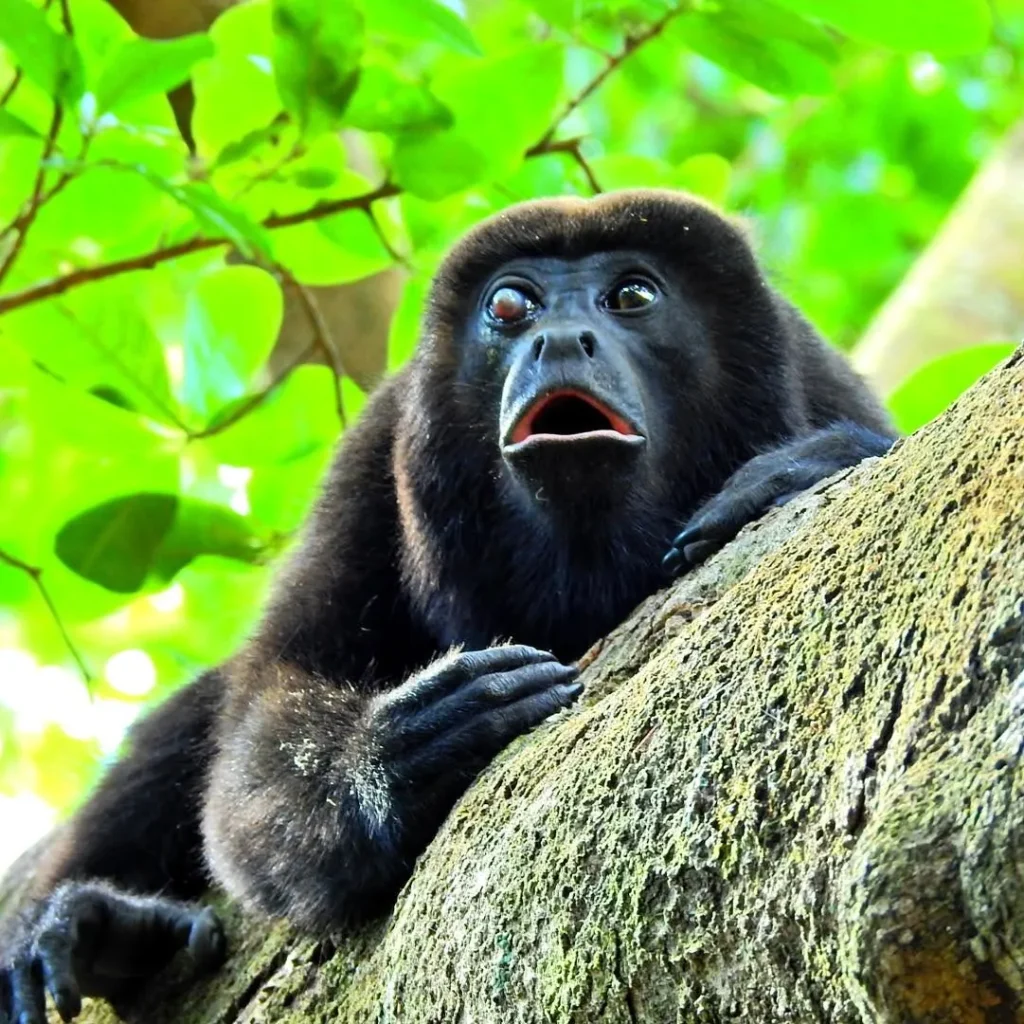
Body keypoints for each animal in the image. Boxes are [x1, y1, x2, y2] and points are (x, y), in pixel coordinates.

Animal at [0, 189, 895, 1024]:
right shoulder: (378, 449)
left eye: (633, 295)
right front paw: (398, 755)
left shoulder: (814, 371)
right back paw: (87, 928)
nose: (557, 339)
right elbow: (268, 701)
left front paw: (793, 472)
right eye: (511, 308)